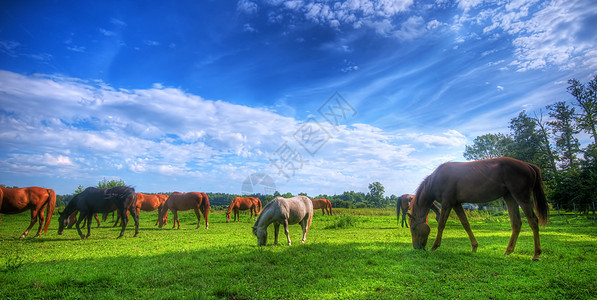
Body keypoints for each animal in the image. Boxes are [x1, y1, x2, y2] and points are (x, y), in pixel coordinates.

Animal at [408, 157, 548, 260]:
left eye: (413, 228)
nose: (416, 247)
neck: (437, 179)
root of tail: (528, 165)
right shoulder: (456, 204)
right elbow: (465, 224)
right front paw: (474, 247)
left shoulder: (447, 203)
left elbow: (441, 224)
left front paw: (434, 247)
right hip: (509, 197)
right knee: (517, 223)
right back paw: (508, 251)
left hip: (521, 197)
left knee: (533, 221)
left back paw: (536, 254)